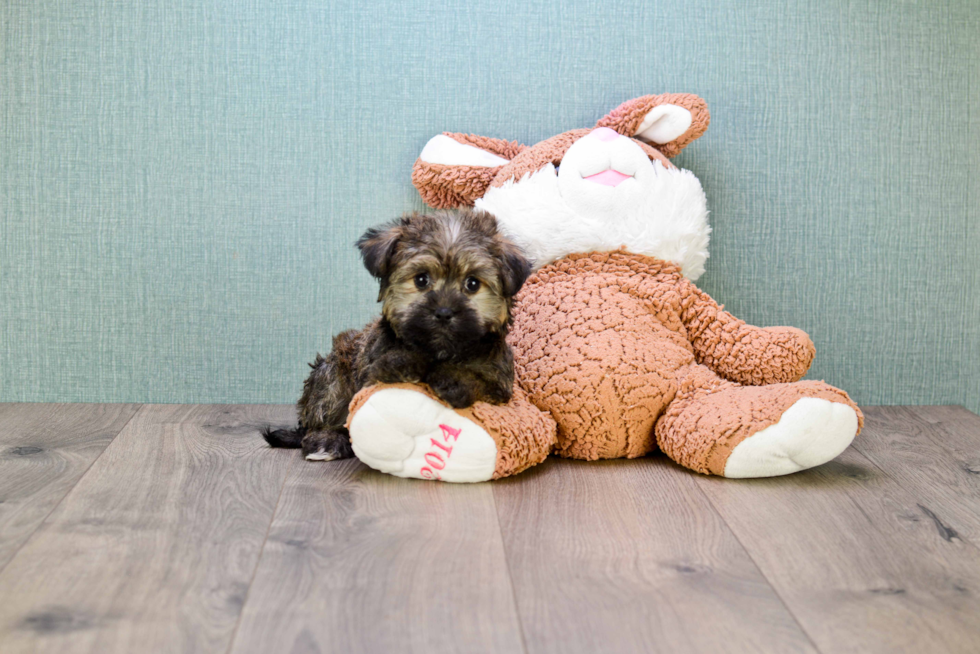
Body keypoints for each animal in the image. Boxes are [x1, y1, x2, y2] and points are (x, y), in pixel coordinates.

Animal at [264, 209, 532, 462]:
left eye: (473, 284)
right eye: (421, 279)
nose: (444, 312)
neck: (438, 351)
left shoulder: (500, 384)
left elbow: (480, 380)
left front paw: (454, 379)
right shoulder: (370, 371)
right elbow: (387, 367)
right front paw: (404, 362)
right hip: (332, 374)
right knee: (322, 416)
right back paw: (326, 442)